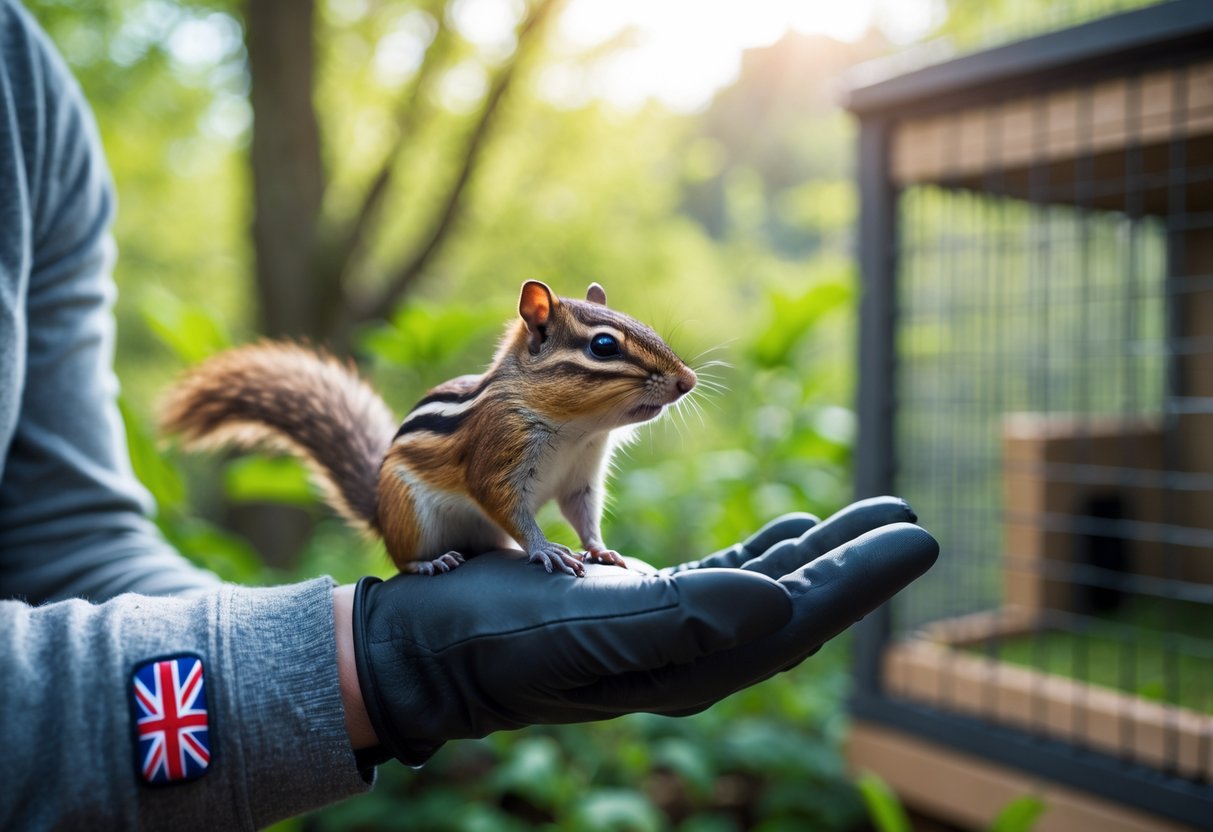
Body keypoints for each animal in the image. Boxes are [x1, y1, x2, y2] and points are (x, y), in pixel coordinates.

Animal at [160, 280, 697, 577]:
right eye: (604, 345)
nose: (687, 381)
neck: (577, 429)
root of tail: (379, 511)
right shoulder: (498, 452)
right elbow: (509, 507)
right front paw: (547, 550)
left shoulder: (581, 475)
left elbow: (582, 514)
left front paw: (601, 550)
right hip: (410, 514)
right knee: (401, 560)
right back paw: (428, 563)